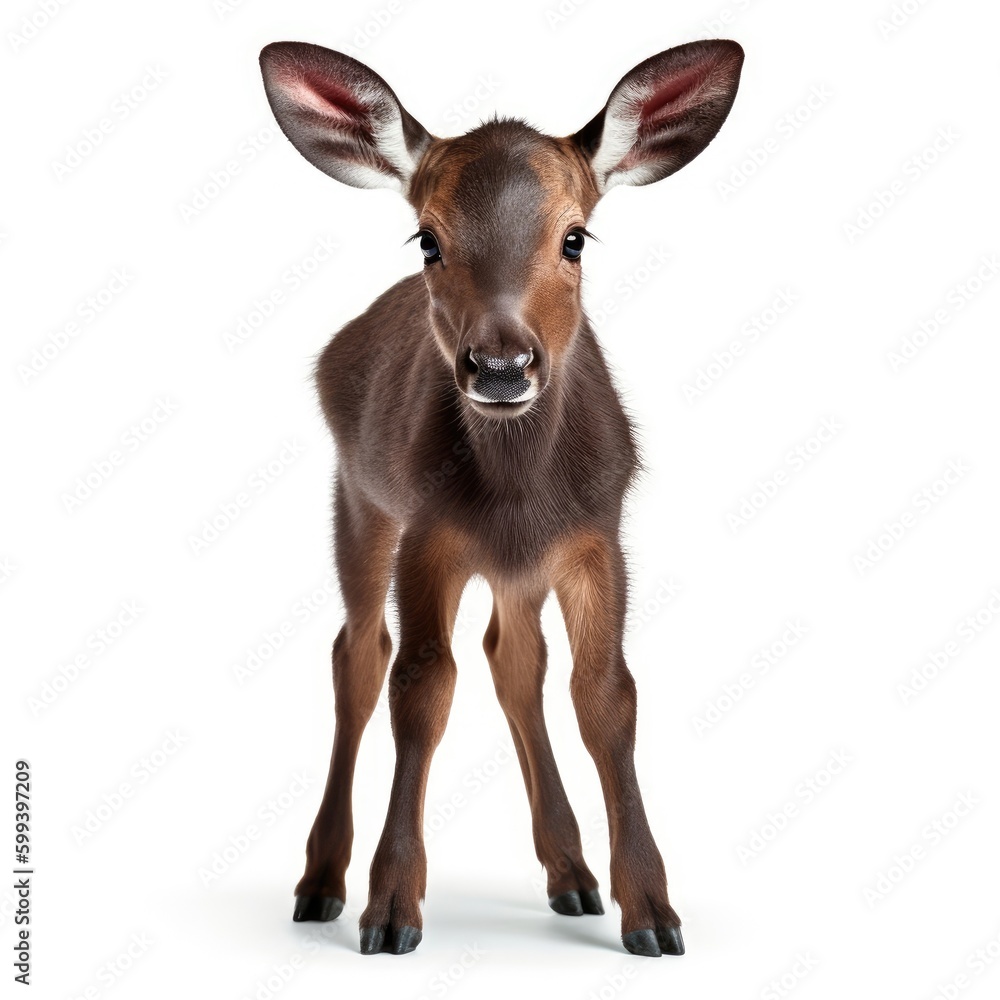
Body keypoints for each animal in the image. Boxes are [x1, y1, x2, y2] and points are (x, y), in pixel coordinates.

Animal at [259, 37, 743, 957]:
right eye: (428, 238)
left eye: (575, 236)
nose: (501, 367)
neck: (519, 494)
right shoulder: (427, 533)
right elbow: (420, 688)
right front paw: (390, 910)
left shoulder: (596, 537)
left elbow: (607, 694)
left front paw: (652, 913)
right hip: (357, 500)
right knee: (358, 656)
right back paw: (320, 882)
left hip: (515, 570)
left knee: (513, 657)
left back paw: (572, 874)